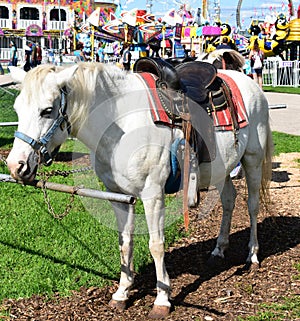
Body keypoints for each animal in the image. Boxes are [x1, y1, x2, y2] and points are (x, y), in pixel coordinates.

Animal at [7, 62, 274, 318]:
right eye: (17, 110)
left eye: (47, 110)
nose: (15, 165)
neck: (120, 124)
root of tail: (250, 83)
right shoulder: (118, 197)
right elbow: (125, 243)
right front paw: (122, 293)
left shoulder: (153, 195)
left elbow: (156, 245)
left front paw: (162, 300)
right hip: (221, 168)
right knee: (229, 200)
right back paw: (219, 249)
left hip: (252, 159)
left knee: (252, 206)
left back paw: (252, 256)